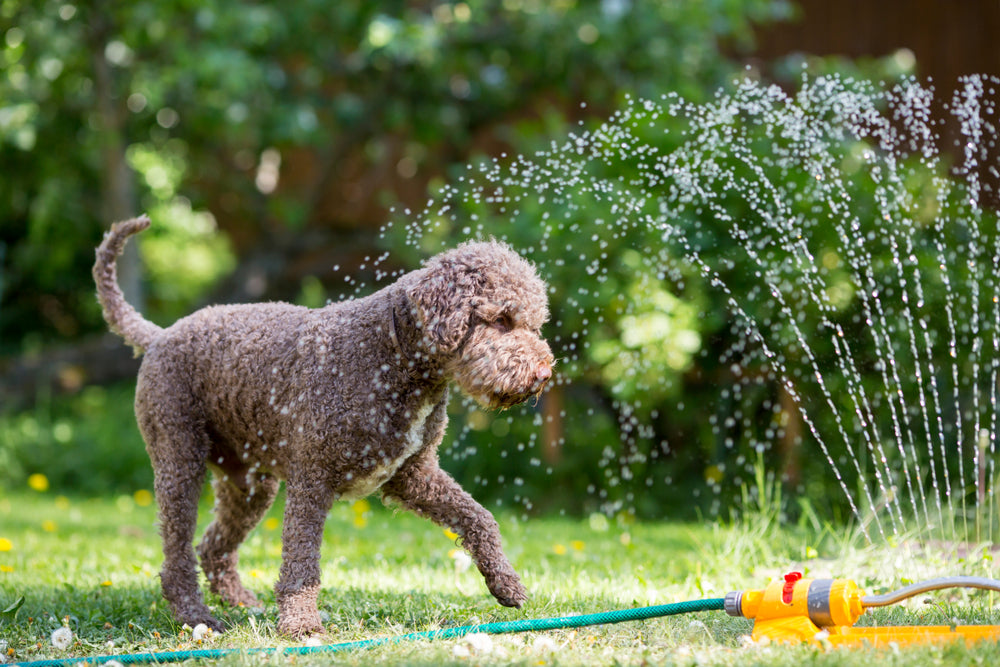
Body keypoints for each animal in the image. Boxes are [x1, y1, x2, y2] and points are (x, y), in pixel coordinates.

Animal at [93, 218, 556, 636]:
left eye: (535, 324)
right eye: (502, 320)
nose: (544, 373)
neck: (388, 355)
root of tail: (159, 335)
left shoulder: (413, 475)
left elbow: (480, 518)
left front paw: (506, 583)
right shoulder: (311, 481)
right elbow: (301, 564)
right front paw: (300, 624)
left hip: (250, 485)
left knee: (213, 547)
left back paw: (241, 602)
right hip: (180, 463)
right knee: (177, 556)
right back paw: (196, 616)